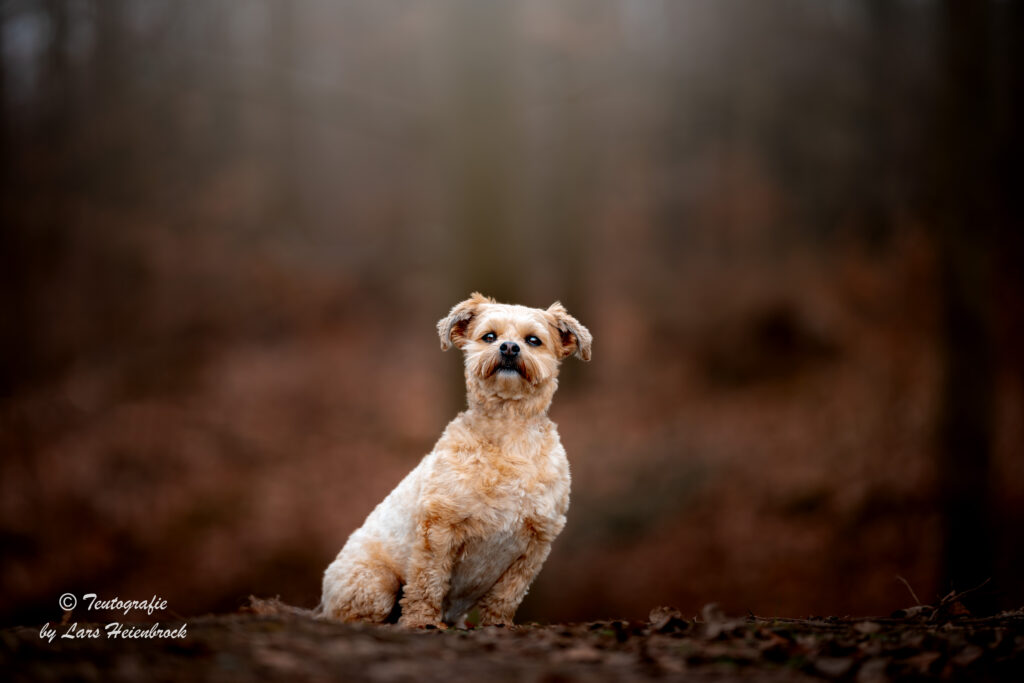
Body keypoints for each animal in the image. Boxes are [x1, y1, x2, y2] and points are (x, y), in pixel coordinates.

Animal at [319, 290, 593, 626]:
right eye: (489, 336)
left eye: (533, 340)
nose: (509, 347)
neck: (508, 429)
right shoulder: (438, 529)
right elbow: (428, 581)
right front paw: (422, 621)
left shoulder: (536, 542)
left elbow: (508, 593)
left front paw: (498, 624)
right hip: (374, 583)